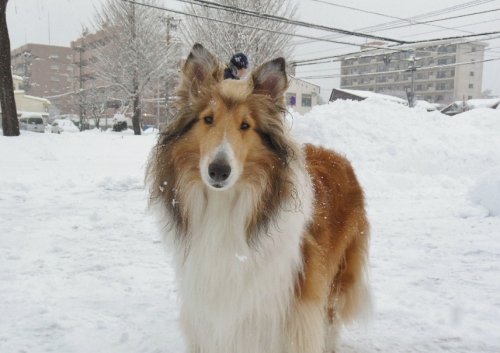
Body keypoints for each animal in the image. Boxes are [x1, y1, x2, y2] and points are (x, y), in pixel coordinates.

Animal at [146, 44, 370, 352]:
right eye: (208, 119)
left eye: (245, 125)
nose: (218, 171)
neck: (226, 204)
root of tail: (338, 156)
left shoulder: (288, 308)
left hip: (337, 274)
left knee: (331, 321)